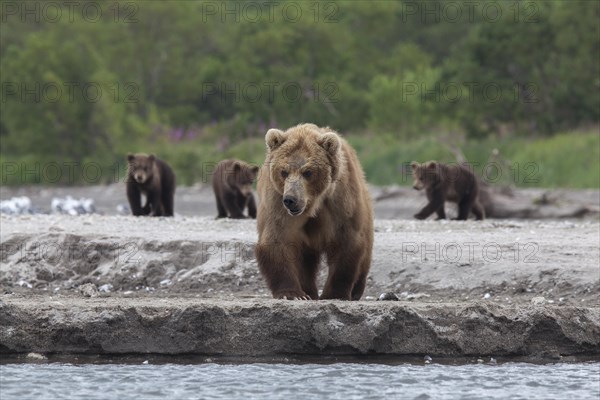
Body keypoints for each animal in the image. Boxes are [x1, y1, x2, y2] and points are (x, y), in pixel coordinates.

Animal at [254, 123, 376, 302]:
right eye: (284, 171)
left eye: (308, 172)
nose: (290, 199)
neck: (312, 205)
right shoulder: (276, 202)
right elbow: (278, 239)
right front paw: (292, 294)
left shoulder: (340, 202)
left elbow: (346, 241)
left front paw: (335, 293)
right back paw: (308, 291)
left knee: (365, 252)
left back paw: (355, 291)